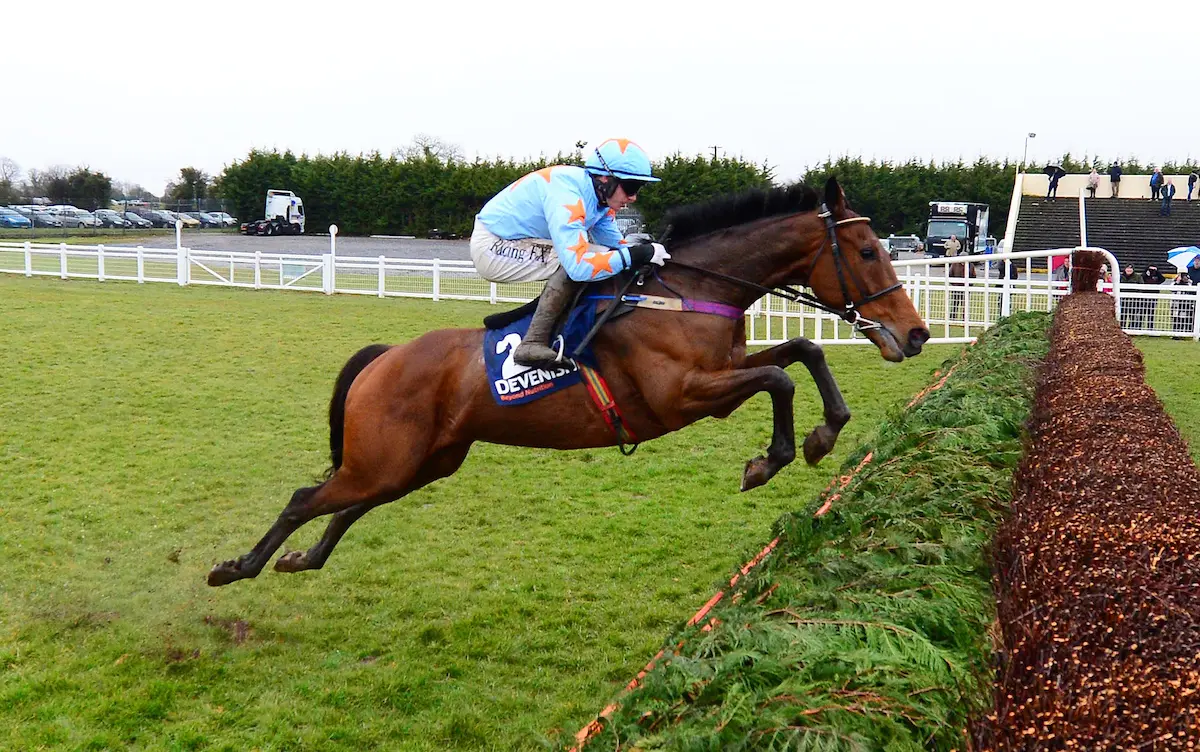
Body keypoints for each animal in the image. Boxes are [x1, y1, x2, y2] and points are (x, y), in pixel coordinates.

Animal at [208, 177, 930, 586]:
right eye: (869, 252)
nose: (917, 332)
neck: (685, 292)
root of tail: (387, 356)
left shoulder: (722, 372)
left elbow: (803, 350)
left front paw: (824, 433)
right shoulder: (682, 397)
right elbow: (779, 376)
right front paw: (774, 457)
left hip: (419, 463)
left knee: (348, 503)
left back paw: (302, 560)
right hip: (386, 459)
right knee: (306, 497)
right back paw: (237, 567)